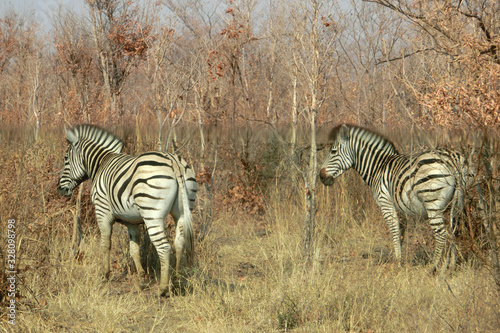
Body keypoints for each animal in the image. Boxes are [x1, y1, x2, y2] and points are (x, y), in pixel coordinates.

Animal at [58, 124, 197, 296]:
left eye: (66, 159)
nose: (60, 190)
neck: (101, 164)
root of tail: (173, 160)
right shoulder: (132, 221)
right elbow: (134, 249)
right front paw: (142, 279)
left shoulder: (102, 211)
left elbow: (105, 244)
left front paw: (105, 274)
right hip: (183, 211)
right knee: (179, 243)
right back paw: (177, 281)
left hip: (152, 214)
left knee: (164, 247)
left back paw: (163, 289)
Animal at [318, 123, 470, 272]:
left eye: (333, 152)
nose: (321, 177)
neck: (378, 167)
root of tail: (452, 160)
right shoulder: (400, 208)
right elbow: (401, 233)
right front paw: (399, 258)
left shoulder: (386, 203)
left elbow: (394, 231)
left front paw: (397, 262)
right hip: (455, 206)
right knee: (453, 232)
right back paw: (450, 266)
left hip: (433, 204)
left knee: (441, 234)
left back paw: (433, 266)